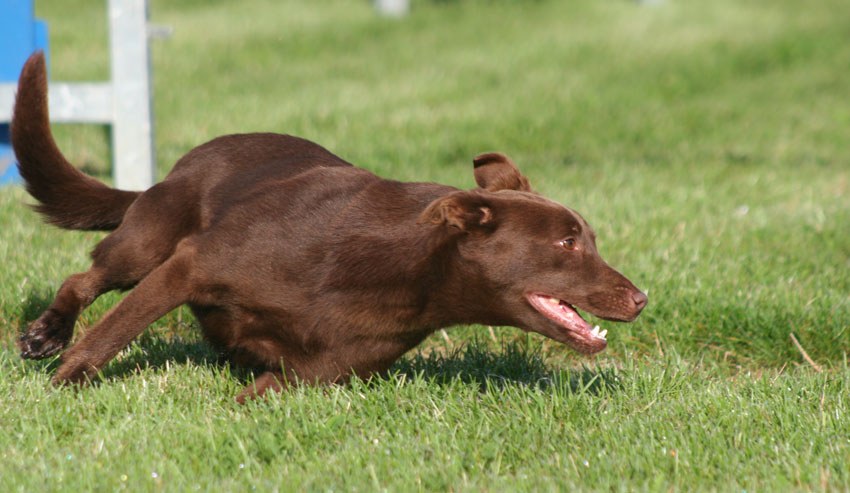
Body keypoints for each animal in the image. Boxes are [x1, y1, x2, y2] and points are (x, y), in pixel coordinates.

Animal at [11, 52, 644, 400]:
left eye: (591, 240)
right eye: (567, 242)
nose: (640, 298)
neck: (403, 268)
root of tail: (174, 169)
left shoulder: (315, 373)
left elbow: (258, 395)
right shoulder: (190, 266)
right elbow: (115, 330)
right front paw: (66, 382)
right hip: (147, 242)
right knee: (86, 280)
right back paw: (47, 334)